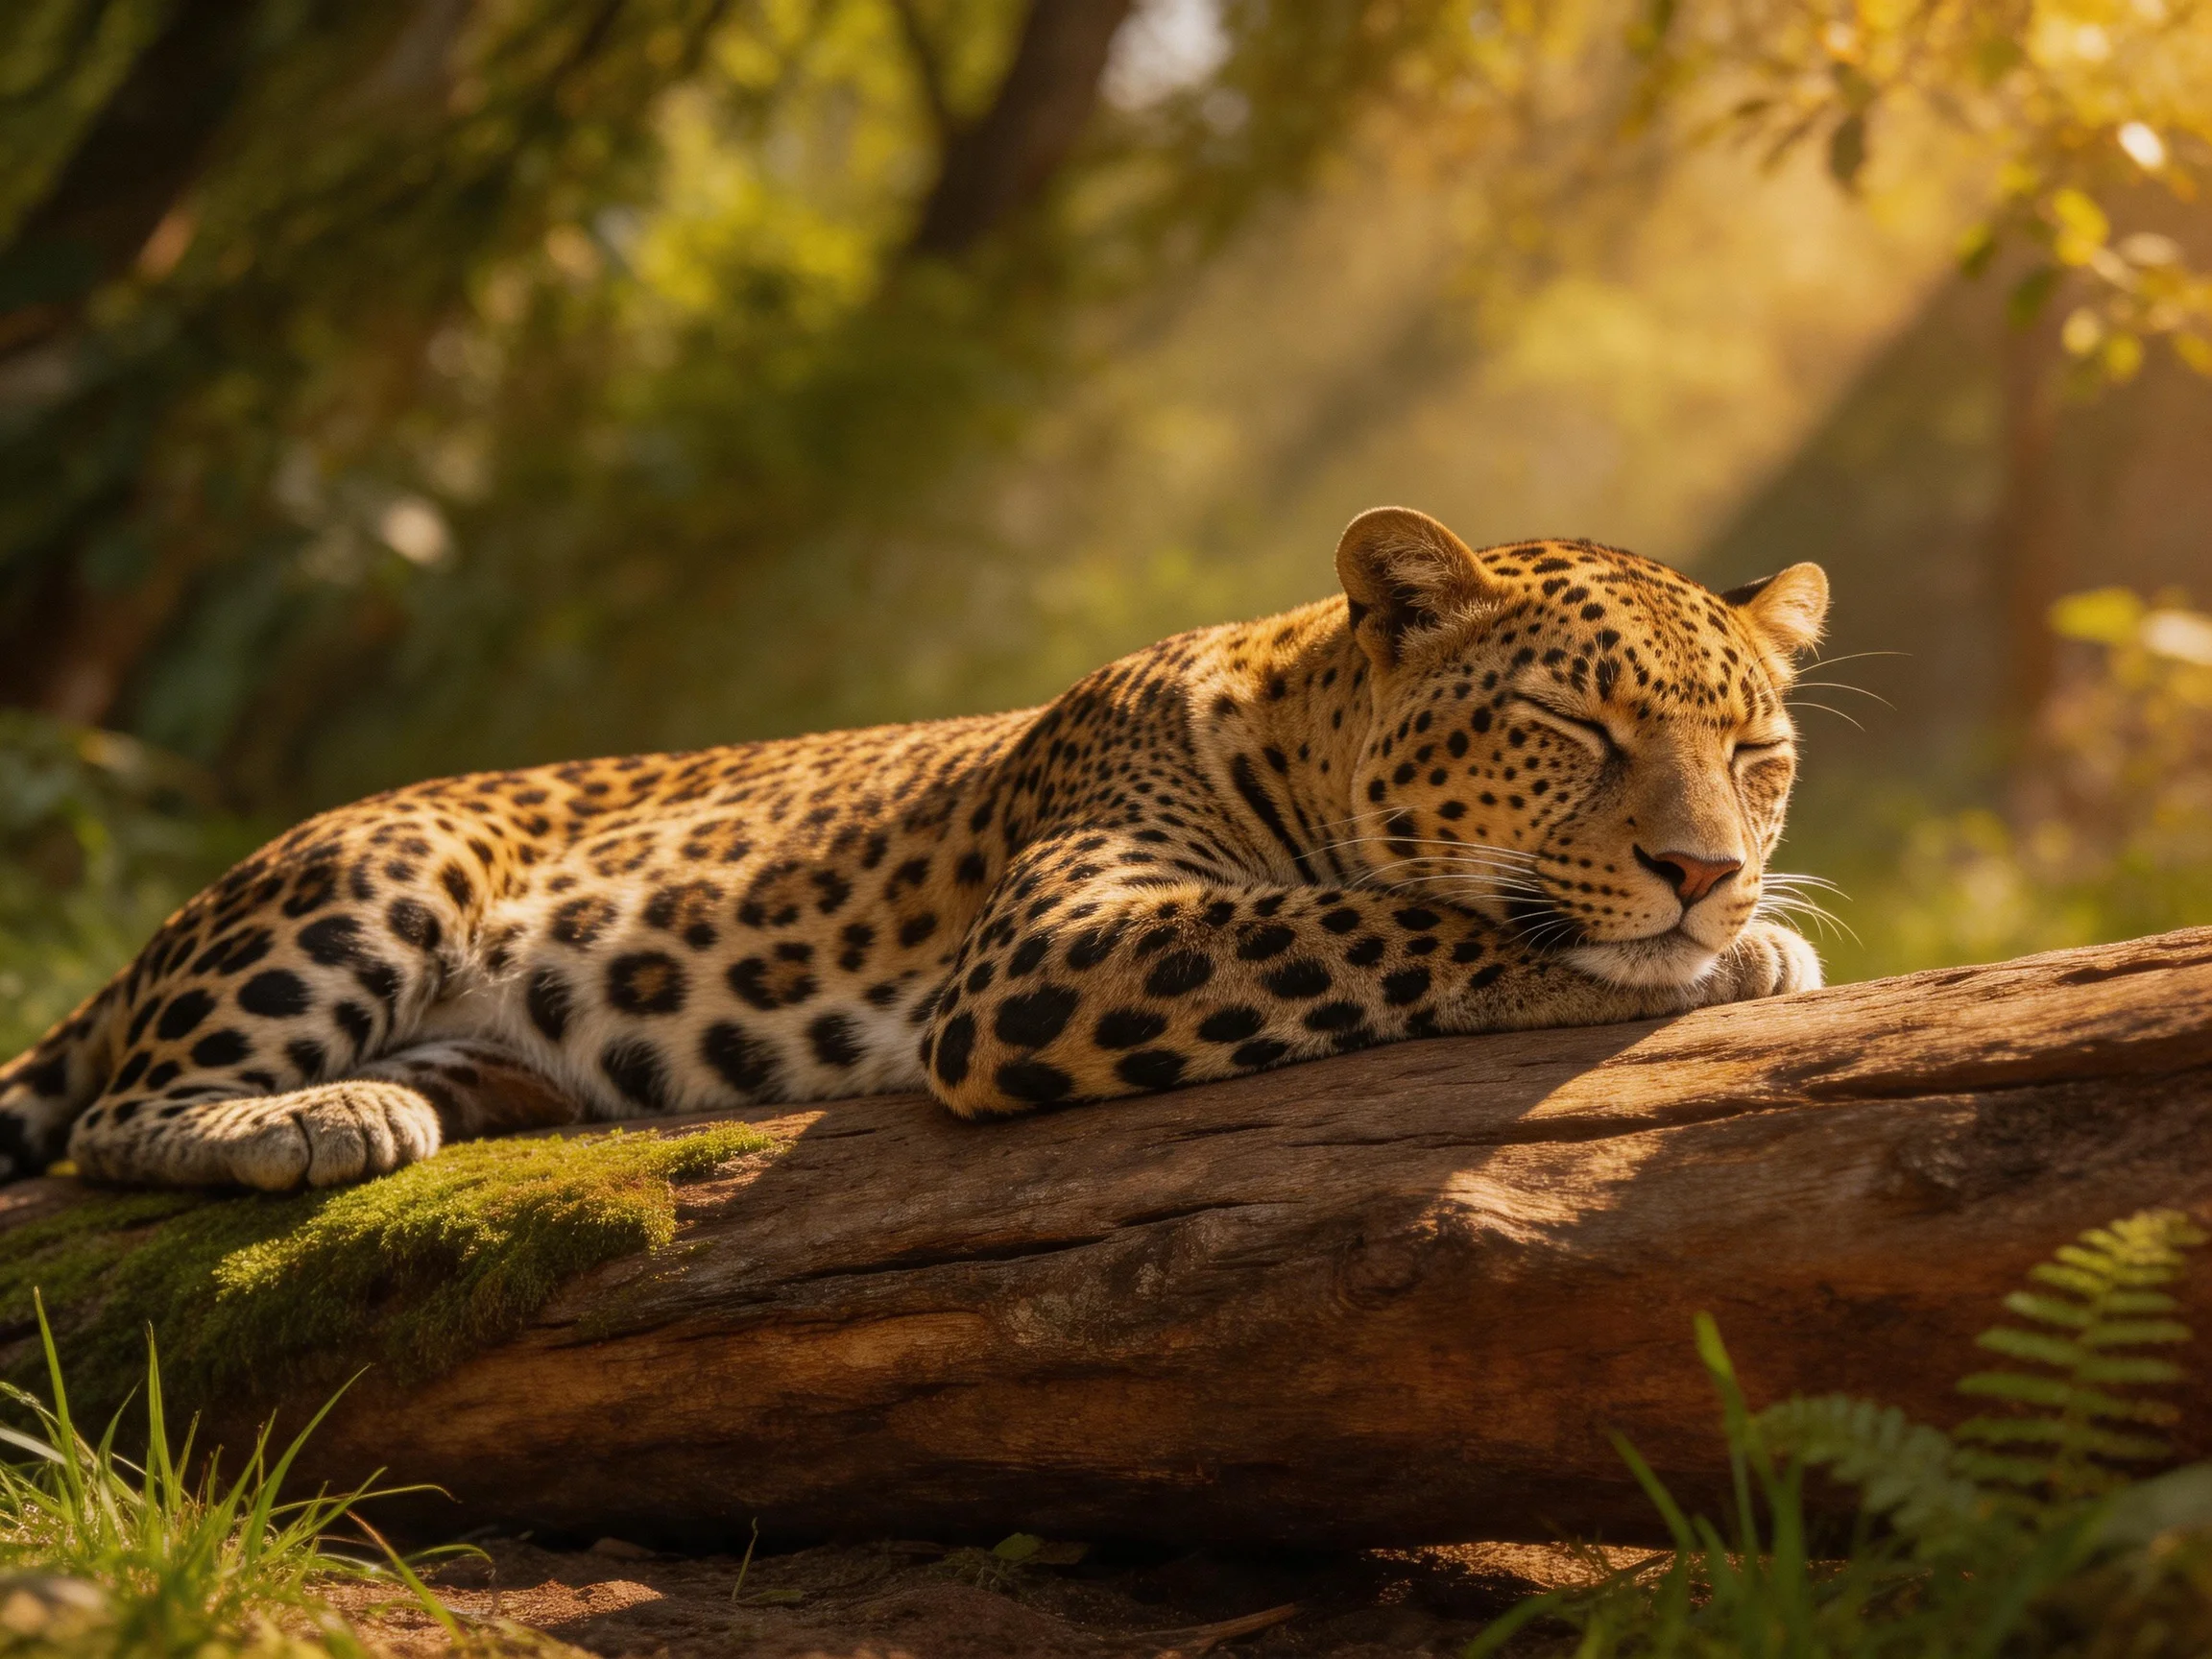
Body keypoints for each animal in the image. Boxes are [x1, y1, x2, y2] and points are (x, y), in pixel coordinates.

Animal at [0, 507, 1830, 1191]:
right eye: (1571, 725)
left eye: (1757, 757)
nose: (1707, 872)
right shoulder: (1046, 954)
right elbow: (1378, 924)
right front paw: (1719, 955)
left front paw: (1749, 928)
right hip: (379, 864)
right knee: (109, 1119)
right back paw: (309, 1118)